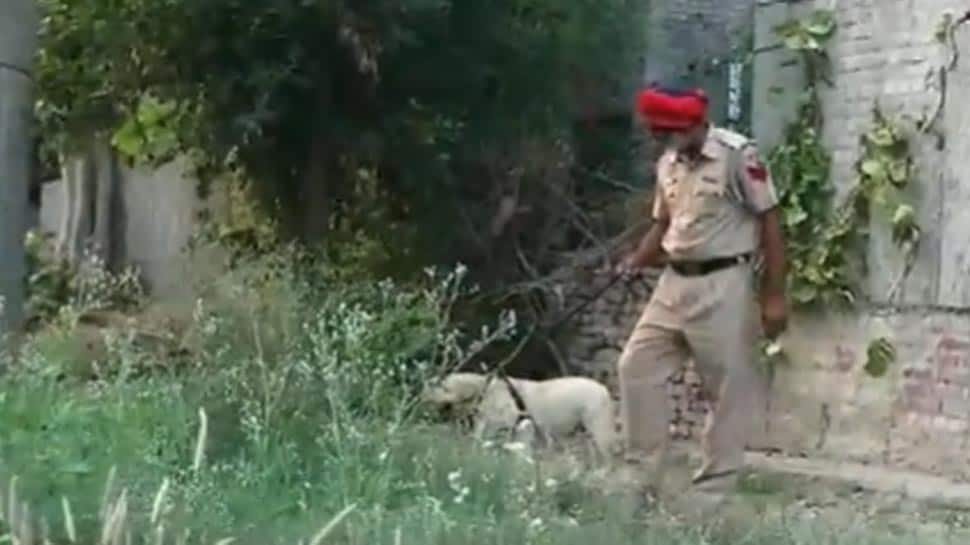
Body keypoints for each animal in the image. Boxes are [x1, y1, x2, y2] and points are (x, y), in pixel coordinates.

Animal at [420, 370, 616, 460]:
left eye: (440, 385)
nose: (422, 392)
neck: (484, 390)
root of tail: (603, 388)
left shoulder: (517, 431)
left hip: (598, 430)